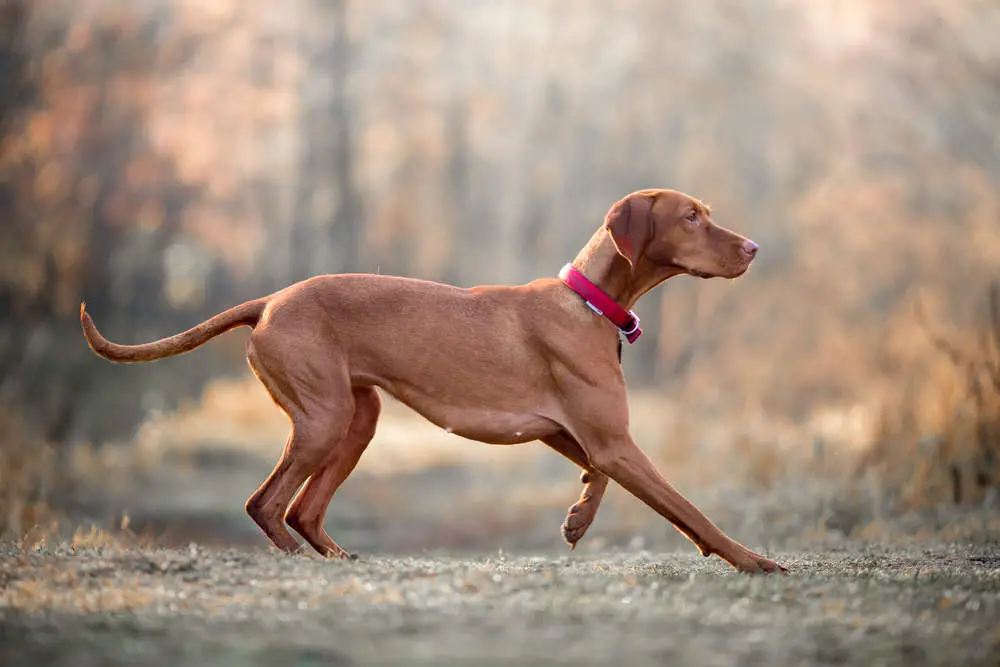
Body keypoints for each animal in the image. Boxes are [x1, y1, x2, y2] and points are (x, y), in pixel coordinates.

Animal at [82, 188, 788, 576]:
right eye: (692, 217)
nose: (755, 248)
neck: (589, 302)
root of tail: (270, 302)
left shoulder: (574, 435)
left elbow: (601, 476)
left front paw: (578, 519)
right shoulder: (613, 441)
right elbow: (689, 509)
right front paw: (755, 561)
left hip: (356, 421)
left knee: (304, 509)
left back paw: (337, 559)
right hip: (323, 420)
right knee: (266, 504)